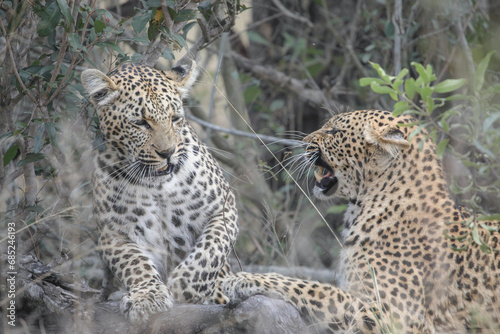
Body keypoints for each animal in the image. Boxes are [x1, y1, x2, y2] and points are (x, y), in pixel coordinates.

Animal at [81, 62, 238, 324]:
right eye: (140, 122)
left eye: (175, 118)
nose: (168, 153)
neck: (158, 185)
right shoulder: (113, 234)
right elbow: (135, 263)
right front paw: (148, 297)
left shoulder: (224, 207)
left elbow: (212, 248)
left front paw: (185, 284)